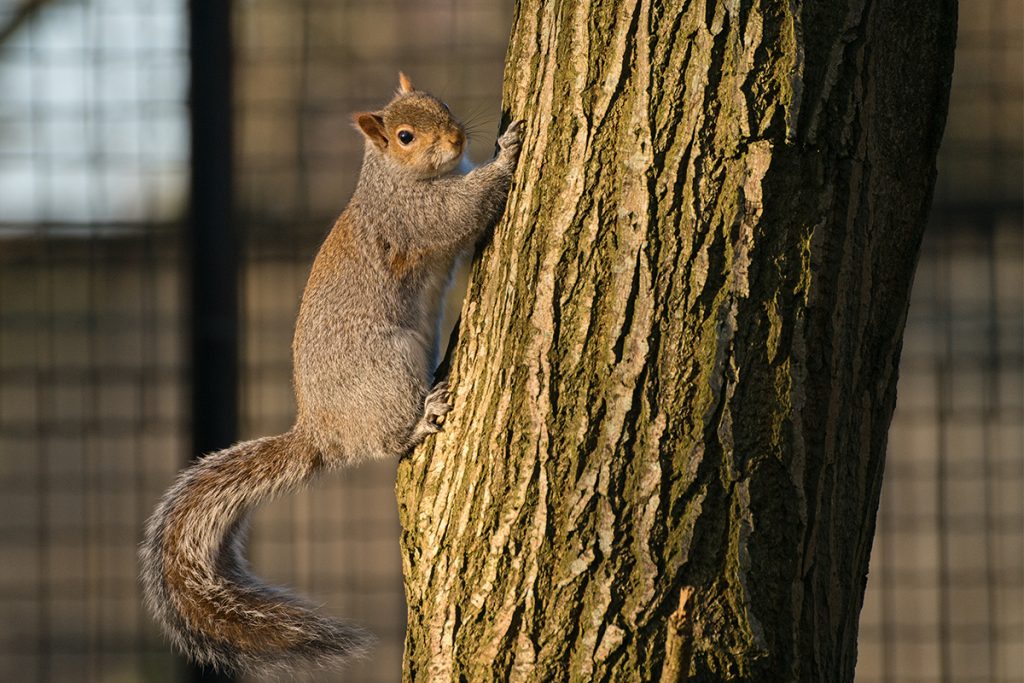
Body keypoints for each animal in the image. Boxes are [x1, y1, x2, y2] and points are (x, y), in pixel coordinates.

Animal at [140, 72, 524, 675]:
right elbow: (459, 213)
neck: (394, 176)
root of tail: (321, 431)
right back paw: (423, 418)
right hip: (389, 367)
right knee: (387, 441)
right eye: (405, 137)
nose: (459, 137)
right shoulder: (410, 216)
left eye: (440, 103)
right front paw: (505, 153)